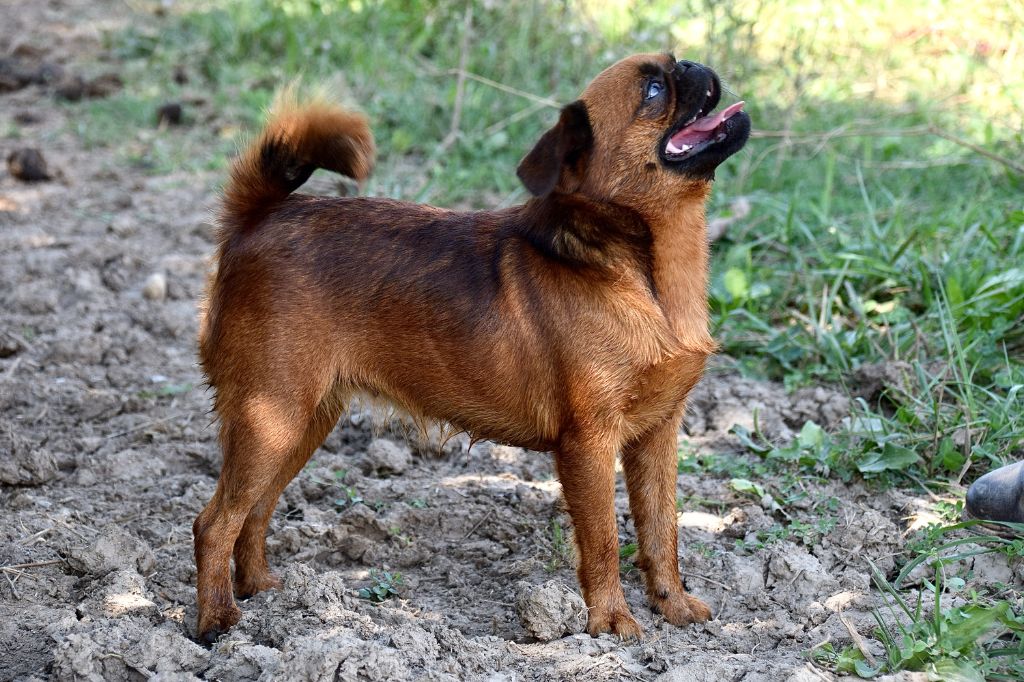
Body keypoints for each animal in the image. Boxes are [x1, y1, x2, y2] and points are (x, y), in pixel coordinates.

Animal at [193, 50, 753, 638]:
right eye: (653, 91)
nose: (692, 63)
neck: (644, 273)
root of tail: (258, 217)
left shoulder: (658, 436)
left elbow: (661, 528)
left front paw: (673, 605)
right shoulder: (590, 445)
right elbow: (602, 540)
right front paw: (611, 621)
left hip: (301, 422)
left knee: (255, 510)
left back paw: (261, 588)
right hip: (272, 418)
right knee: (214, 521)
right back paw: (216, 620)